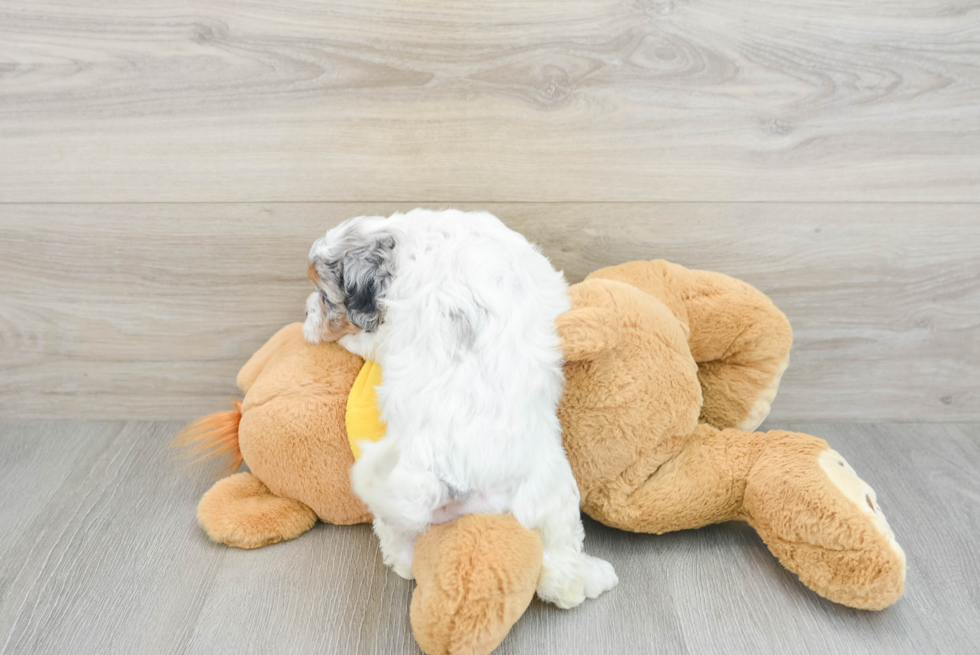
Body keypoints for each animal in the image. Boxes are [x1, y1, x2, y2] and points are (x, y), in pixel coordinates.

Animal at [302, 209, 616, 608]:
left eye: (325, 298)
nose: (305, 312)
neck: (416, 241)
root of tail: (446, 480)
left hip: (396, 506)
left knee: (399, 544)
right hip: (552, 492)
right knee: (559, 565)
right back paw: (592, 578)